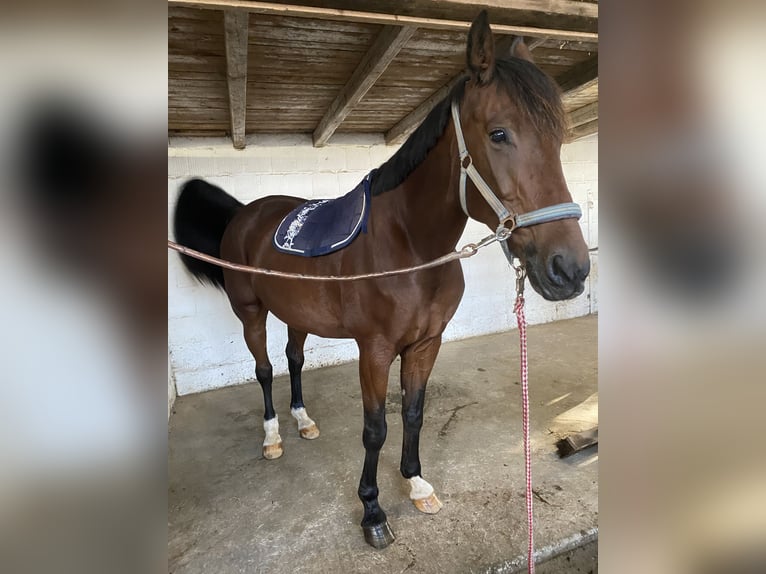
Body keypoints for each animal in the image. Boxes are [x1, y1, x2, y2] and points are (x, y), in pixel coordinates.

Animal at [176, 13, 592, 552]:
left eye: (558, 138)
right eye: (499, 133)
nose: (570, 270)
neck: (408, 246)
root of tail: (245, 213)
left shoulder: (426, 343)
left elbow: (413, 413)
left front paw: (416, 483)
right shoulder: (373, 350)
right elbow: (375, 428)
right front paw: (372, 510)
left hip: (295, 312)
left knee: (293, 359)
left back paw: (303, 420)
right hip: (250, 311)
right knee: (264, 369)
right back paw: (272, 437)